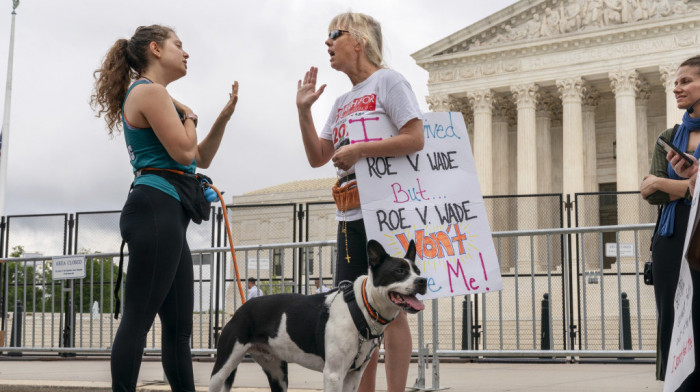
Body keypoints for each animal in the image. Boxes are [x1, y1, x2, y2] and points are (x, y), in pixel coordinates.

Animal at [208, 239, 426, 392]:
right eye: (399, 271)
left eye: (417, 270)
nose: (423, 280)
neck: (361, 307)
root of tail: (243, 308)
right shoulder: (333, 375)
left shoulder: (353, 376)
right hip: (222, 369)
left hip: (277, 373)